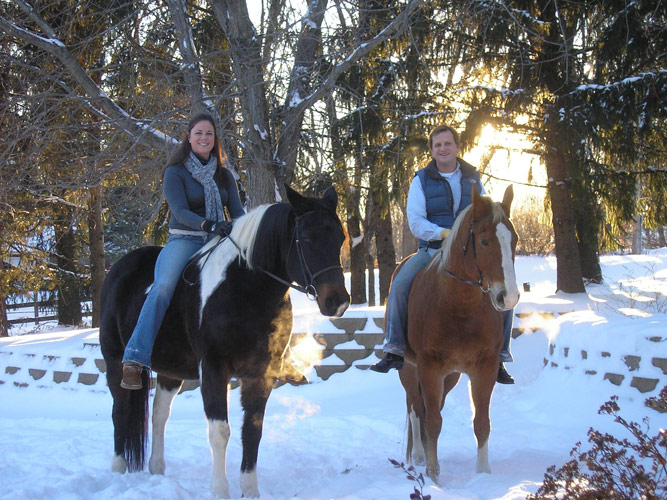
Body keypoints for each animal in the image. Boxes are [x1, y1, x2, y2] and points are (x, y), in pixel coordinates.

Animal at [100, 186, 350, 498]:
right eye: (306, 238)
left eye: (340, 238)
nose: (338, 302)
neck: (245, 291)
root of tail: (118, 268)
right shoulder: (213, 370)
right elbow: (220, 432)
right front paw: (220, 489)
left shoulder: (260, 373)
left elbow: (252, 430)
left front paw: (250, 490)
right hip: (115, 362)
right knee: (120, 411)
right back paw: (117, 469)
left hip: (170, 372)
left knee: (159, 415)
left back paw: (156, 468)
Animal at [400, 185, 520, 484]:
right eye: (485, 242)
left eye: (513, 240)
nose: (508, 297)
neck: (459, 306)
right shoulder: (429, 368)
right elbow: (431, 421)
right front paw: (433, 476)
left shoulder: (484, 368)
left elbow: (482, 423)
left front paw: (484, 474)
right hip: (408, 369)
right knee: (415, 408)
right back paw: (419, 457)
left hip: (450, 377)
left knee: (430, 408)